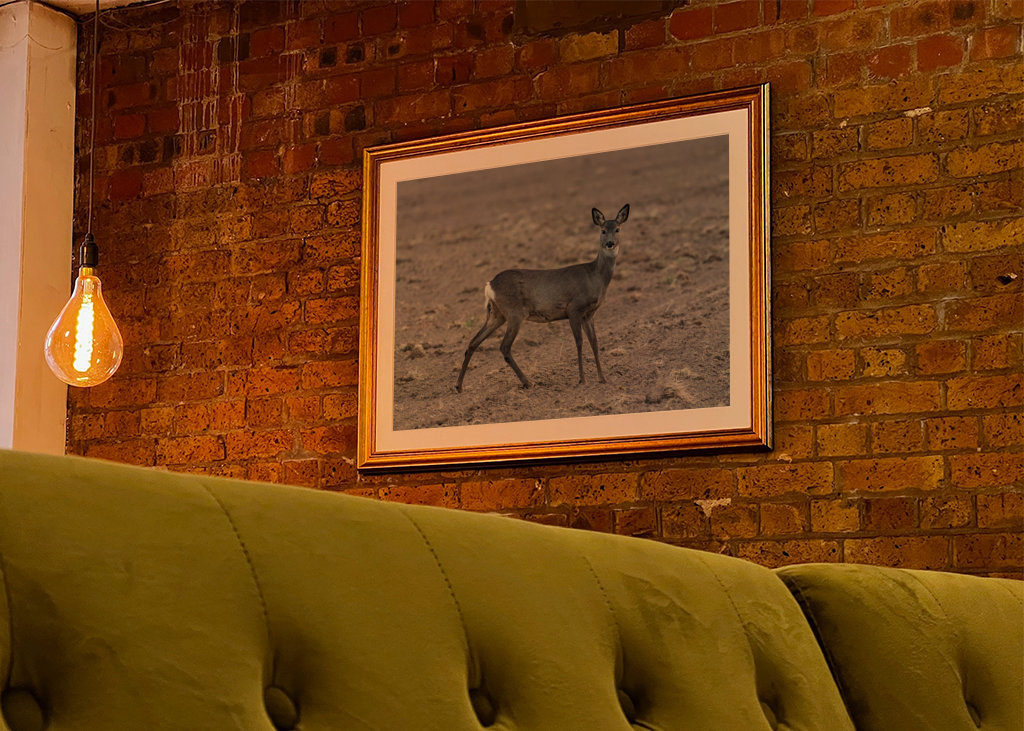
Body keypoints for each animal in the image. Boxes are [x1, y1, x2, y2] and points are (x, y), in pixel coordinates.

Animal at [455, 204, 630, 393]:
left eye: (618, 229)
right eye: (603, 230)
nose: (610, 243)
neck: (595, 277)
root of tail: (490, 285)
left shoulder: (589, 314)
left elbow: (595, 343)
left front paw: (602, 378)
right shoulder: (574, 308)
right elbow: (579, 342)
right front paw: (582, 379)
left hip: (497, 314)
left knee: (474, 342)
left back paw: (459, 386)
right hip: (515, 312)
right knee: (504, 346)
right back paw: (528, 382)